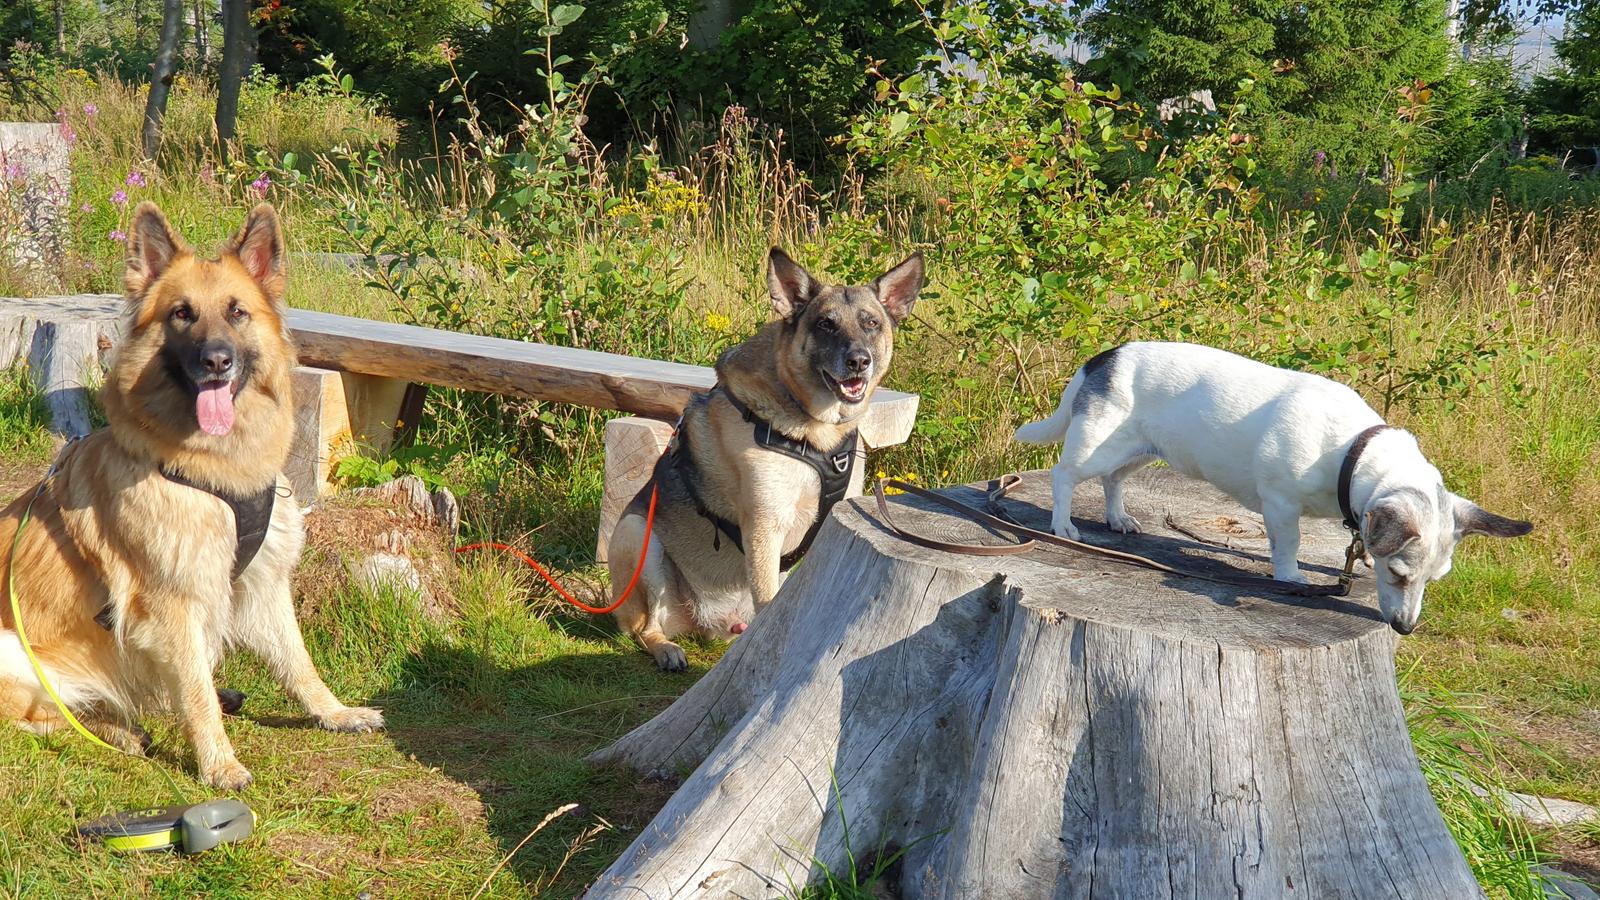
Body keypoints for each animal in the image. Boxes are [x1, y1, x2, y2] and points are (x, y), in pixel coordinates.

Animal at [0, 201, 383, 789]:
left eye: (237, 313)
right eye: (182, 314)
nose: (217, 361)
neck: (213, 471)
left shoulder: (263, 581)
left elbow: (298, 662)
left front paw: (335, 713)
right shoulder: (172, 601)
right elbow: (196, 692)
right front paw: (220, 764)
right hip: (14, 653)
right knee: (40, 717)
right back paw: (115, 729)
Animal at [607, 248, 924, 670]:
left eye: (871, 323)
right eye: (825, 324)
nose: (859, 361)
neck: (814, 433)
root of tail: (707, 622)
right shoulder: (763, 528)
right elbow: (771, 602)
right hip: (637, 535)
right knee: (644, 628)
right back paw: (666, 649)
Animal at [1014, 341, 1532, 634]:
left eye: (1434, 581)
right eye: (1400, 575)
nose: (1405, 629)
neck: (1352, 452)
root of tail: (1101, 359)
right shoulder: (1280, 507)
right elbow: (1289, 546)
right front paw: (1290, 578)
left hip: (1140, 450)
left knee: (1113, 481)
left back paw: (1118, 517)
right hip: (1099, 445)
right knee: (1064, 476)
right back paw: (1063, 525)